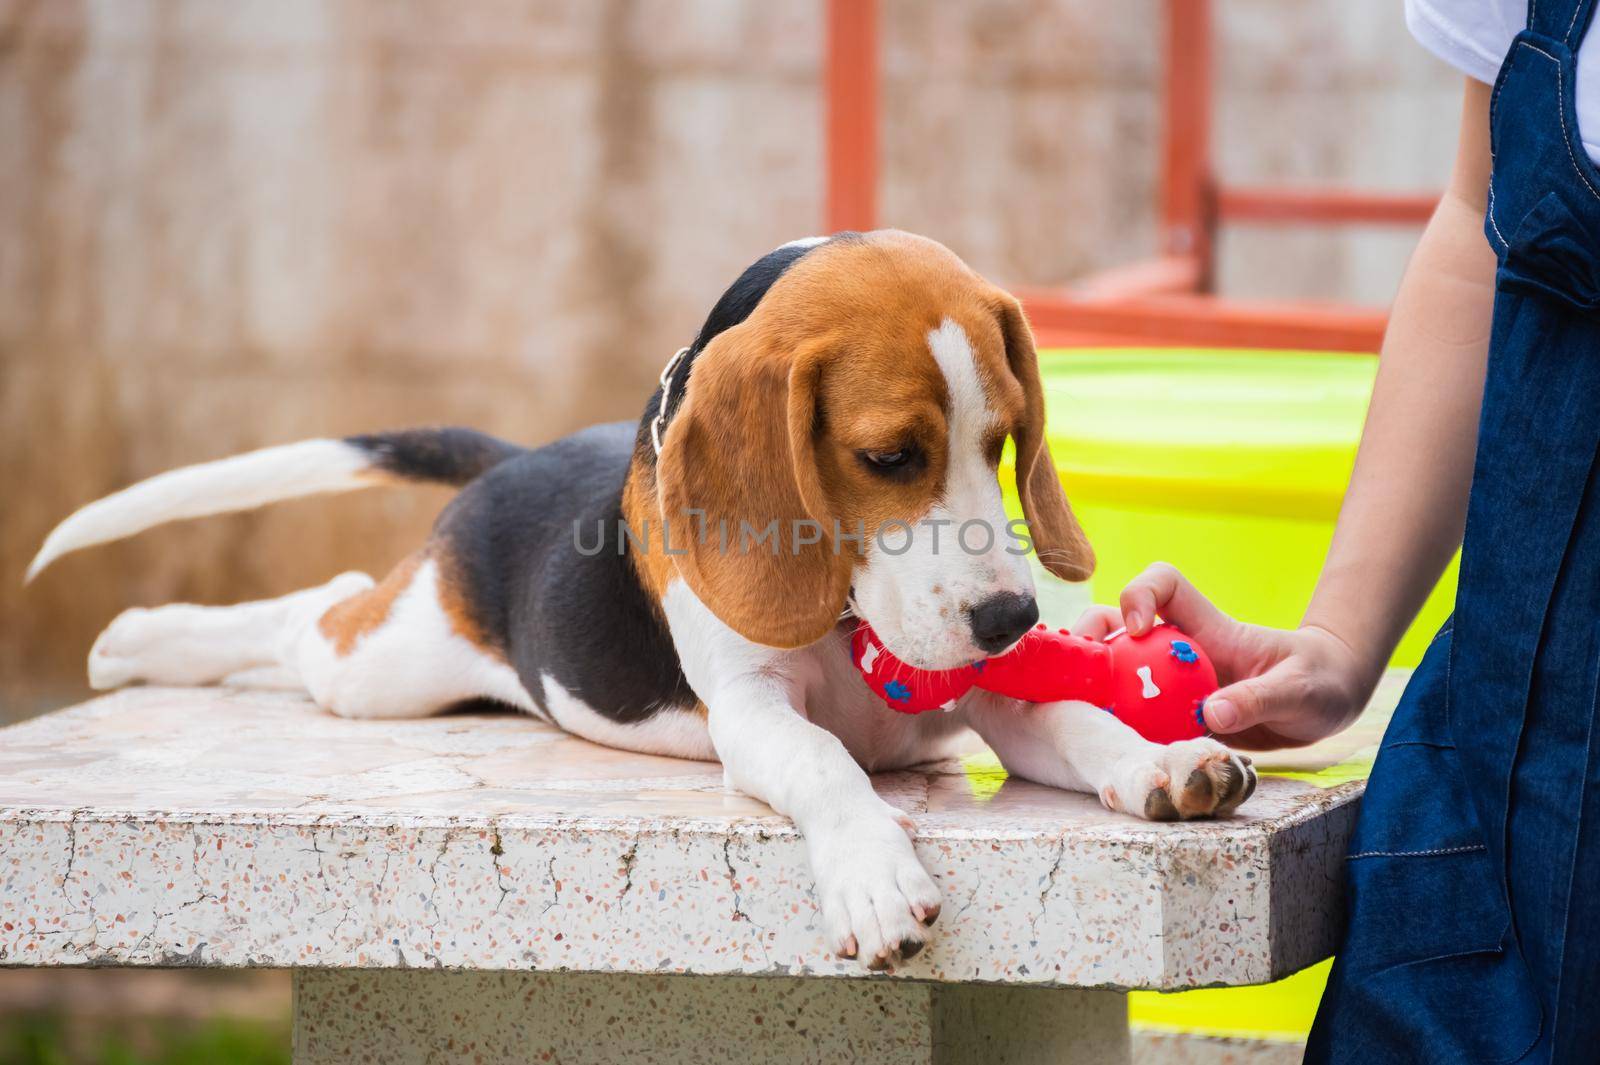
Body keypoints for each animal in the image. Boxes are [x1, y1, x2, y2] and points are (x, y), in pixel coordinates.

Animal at [21, 231, 1248, 972]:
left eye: (1000, 442)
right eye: (889, 457)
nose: (1009, 622)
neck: (844, 611)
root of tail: (516, 463)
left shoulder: (989, 698)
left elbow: (1079, 724)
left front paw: (1165, 765)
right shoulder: (751, 714)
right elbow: (826, 763)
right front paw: (872, 874)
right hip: (391, 668)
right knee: (313, 614)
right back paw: (139, 640)